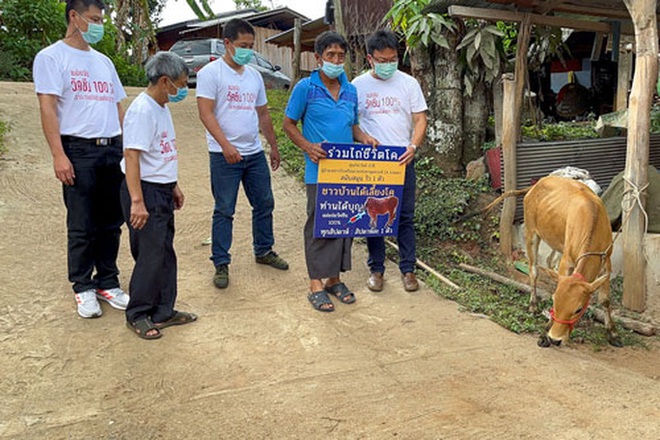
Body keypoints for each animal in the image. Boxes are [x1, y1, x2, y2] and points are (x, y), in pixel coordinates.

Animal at [480, 175, 620, 348]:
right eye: (554, 302)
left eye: (578, 309)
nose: (555, 339)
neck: (593, 220)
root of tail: (537, 183)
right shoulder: (567, 260)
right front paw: (544, 334)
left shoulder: (606, 262)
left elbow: (605, 300)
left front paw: (612, 333)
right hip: (531, 233)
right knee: (533, 271)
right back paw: (533, 305)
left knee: (549, 262)